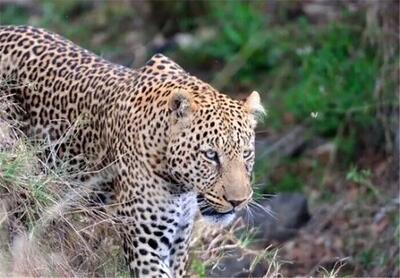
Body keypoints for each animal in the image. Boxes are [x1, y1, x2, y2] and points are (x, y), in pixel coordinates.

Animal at [0, 25, 266, 276]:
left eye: (246, 154)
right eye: (210, 155)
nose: (238, 201)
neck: (181, 186)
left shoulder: (178, 244)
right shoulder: (145, 244)